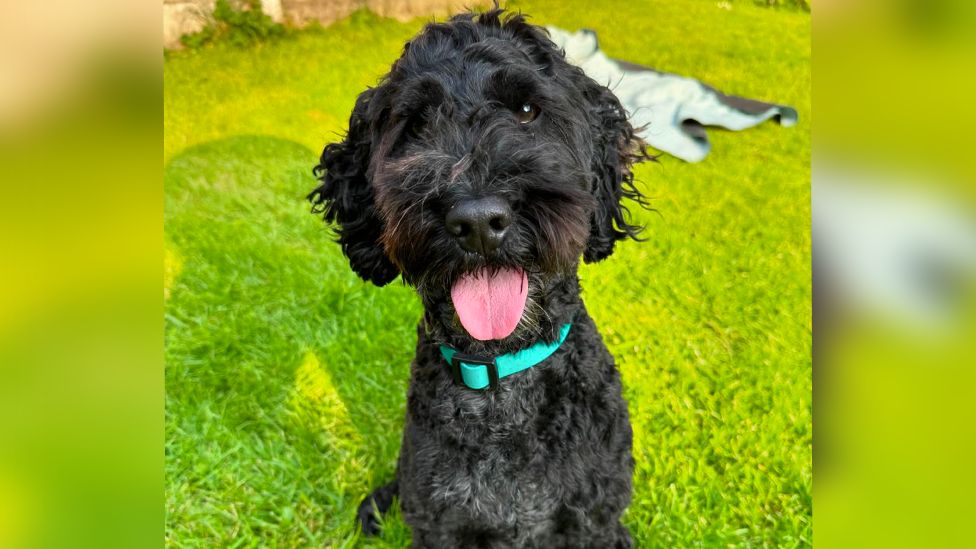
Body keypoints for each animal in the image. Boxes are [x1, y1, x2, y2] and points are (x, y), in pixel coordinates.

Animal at [310, 8, 648, 548]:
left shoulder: (595, 520)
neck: (501, 384)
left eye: (527, 110)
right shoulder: (440, 523)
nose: (477, 221)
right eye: (417, 124)